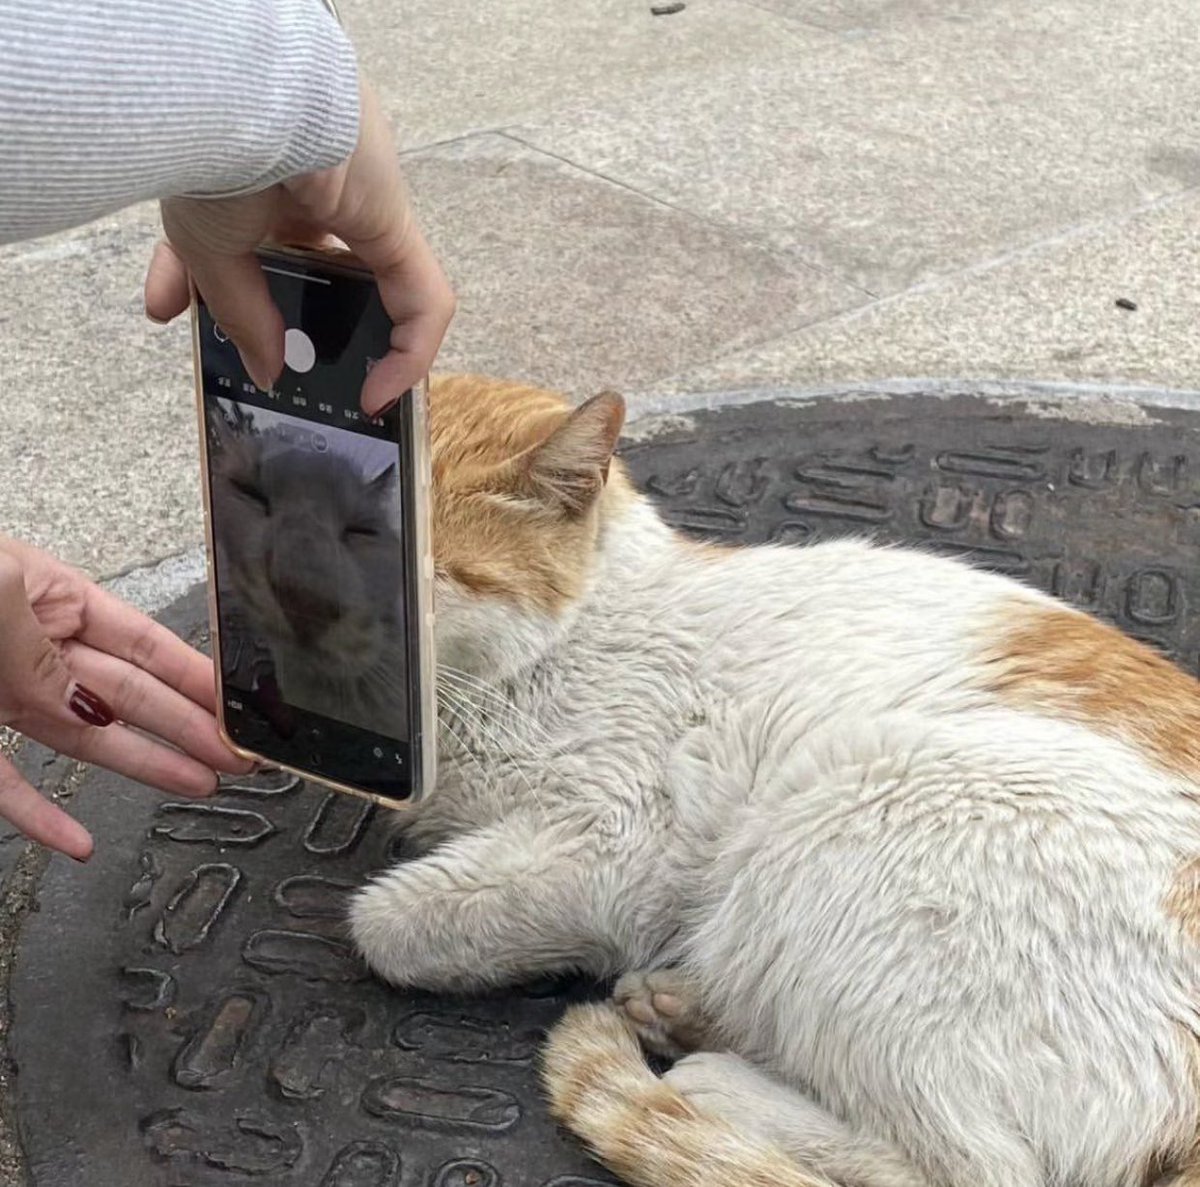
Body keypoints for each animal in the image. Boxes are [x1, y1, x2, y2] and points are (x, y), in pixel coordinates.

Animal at [350, 372, 1200, 1185]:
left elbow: (385, 922)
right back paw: (684, 1007)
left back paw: (719, 1081)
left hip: (853, 806)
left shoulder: (620, 851)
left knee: (976, 1167)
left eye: (425, 582)